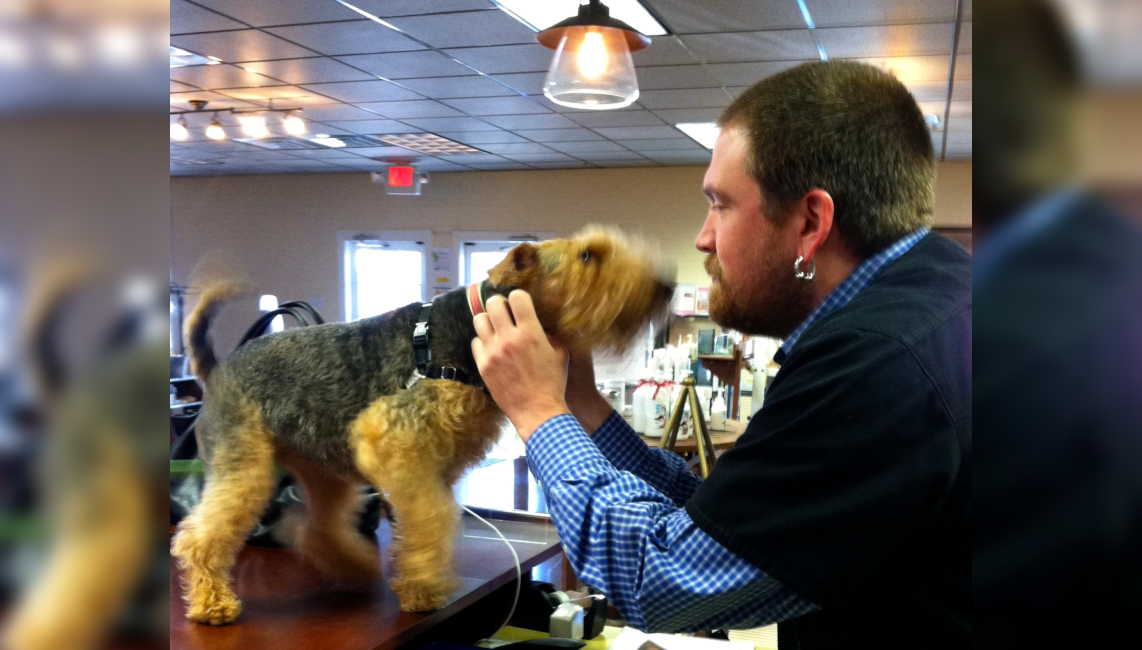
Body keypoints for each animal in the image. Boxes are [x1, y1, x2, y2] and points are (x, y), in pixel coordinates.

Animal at [167, 227, 666, 621]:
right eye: (587, 256)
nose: (665, 283)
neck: (472, 325)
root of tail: (218, 369)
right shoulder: (394, 441)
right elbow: (432, 516)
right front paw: (425, 588)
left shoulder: (431, 465)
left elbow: (432, 518)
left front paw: (421, 580)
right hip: (245, 468)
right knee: (198, 537)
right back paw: (213, 604)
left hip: (323, 471)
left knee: (319, 528)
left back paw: (355, 570)